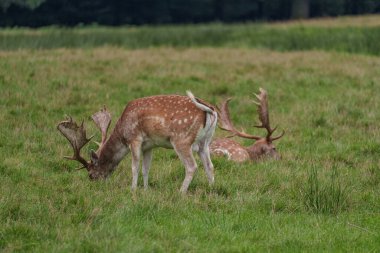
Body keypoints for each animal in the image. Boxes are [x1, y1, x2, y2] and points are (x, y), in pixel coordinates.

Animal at [56, 92, 218, 193]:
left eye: (90, 174)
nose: (96, 186)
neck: (122, 131)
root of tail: (212, 110)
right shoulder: (149, 146)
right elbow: (146, 168)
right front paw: (145, 190)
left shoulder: (134, 139)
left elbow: (134, 167)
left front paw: (132, 189)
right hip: (205, 142)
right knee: (209, 165)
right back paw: (211, 189)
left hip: (181, 139)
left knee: (192, 166)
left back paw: (180, 192)